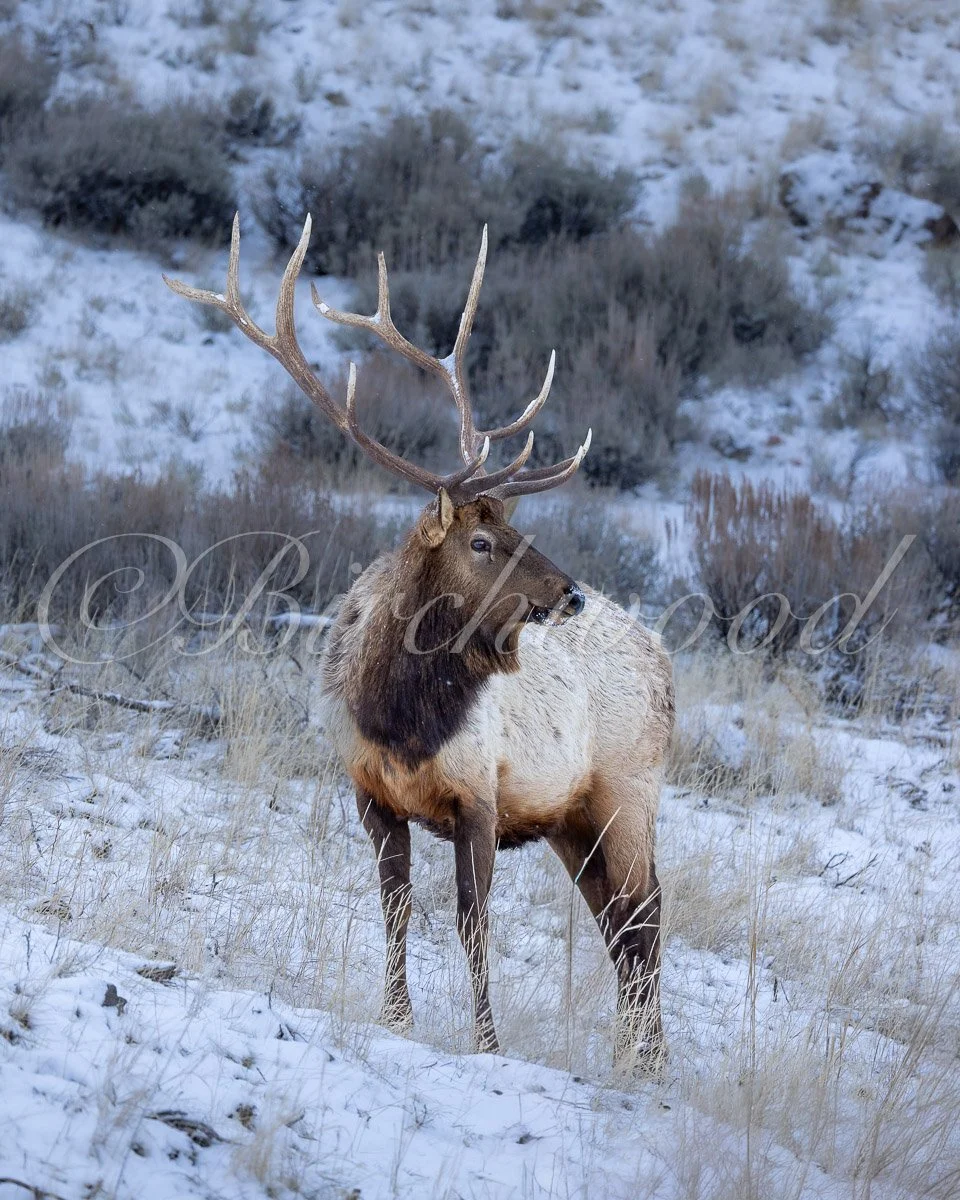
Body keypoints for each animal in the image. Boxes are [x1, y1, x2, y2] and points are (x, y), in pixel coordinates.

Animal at [164, 215, 675, 1071]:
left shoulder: (480, 796)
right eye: (481, 540)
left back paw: (652, 1062)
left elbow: (473, 920)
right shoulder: (369, 791)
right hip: (573, 820)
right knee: (620, 923)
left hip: (628, 792)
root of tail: (667, 663)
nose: (569, 594)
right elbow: (396, 906)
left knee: (648, 918)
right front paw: (397, 1016)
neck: (399, 717)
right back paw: (637, 1056)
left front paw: (487, 1039)